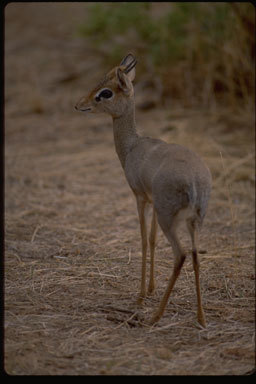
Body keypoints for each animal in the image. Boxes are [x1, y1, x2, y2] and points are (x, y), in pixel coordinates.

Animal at [75, 52, 211, 326]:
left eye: (105, 92)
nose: (80, 104)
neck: (132, 147)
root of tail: (194, 181)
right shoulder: (151, 201)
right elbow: (152, 239)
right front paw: (150, 288)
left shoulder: (140, 198)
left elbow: (142, 239)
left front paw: (140, 296)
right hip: (193, 220)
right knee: (195, 255)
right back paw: (201, 318)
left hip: (170, 218)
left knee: (180, 254)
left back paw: (156, 315)